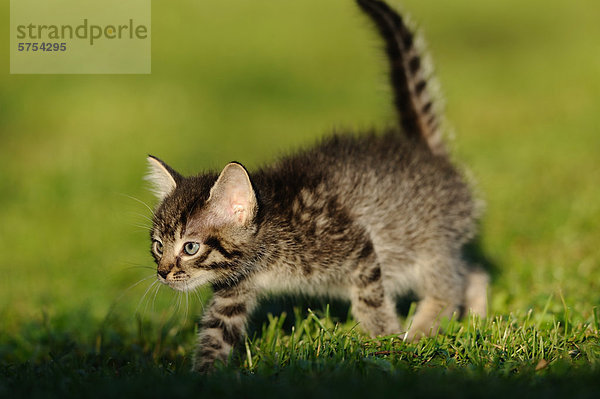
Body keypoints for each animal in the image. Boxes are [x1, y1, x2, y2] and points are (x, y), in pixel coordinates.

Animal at [145, 0, 488, 376]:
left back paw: (423, 329)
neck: (270, 235)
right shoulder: (234, 291)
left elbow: (370, 300)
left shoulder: (355, 245)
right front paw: (204, 376)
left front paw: (387, 342)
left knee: (450, 285)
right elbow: (216, 332)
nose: (163, 273)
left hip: (425, 244)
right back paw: (478, 321)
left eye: (190, 247)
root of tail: (423, 149)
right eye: (158, 245)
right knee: (473, 272)